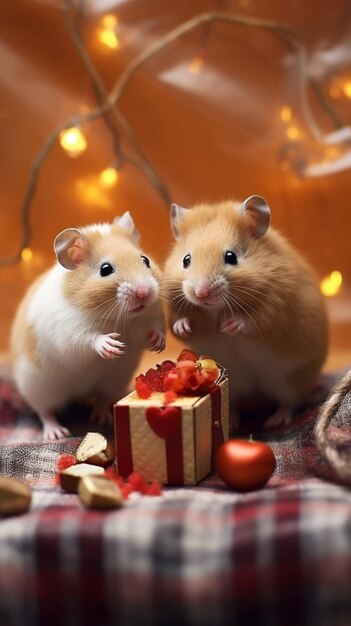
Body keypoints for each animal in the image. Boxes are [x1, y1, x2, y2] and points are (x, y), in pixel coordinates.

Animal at [10, 211, 165, 438]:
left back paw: (103, 418)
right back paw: (57, 433)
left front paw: (158, 343)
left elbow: (155, 328)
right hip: (38, 387)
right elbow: (87, 339)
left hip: (113, 380)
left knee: (101, 398)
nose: (143, 293)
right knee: (45, 411)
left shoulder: (151, 317)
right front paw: (112, 346)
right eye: (105, 269)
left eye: (144, 260)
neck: (121, 319)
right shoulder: (69, 330)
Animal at [165, 195, 330, 428]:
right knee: (232, 403)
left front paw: (229, 325)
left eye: (231, 257)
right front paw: (185, 328)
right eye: (186, 260)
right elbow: (178, 322)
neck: (216, 308)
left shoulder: (275, 309)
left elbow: (252, 322)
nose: (201, 293)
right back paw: (233, 423)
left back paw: (274, 422)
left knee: (289, 402)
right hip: (234, 385)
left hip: (288, 382)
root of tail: (257, 393)